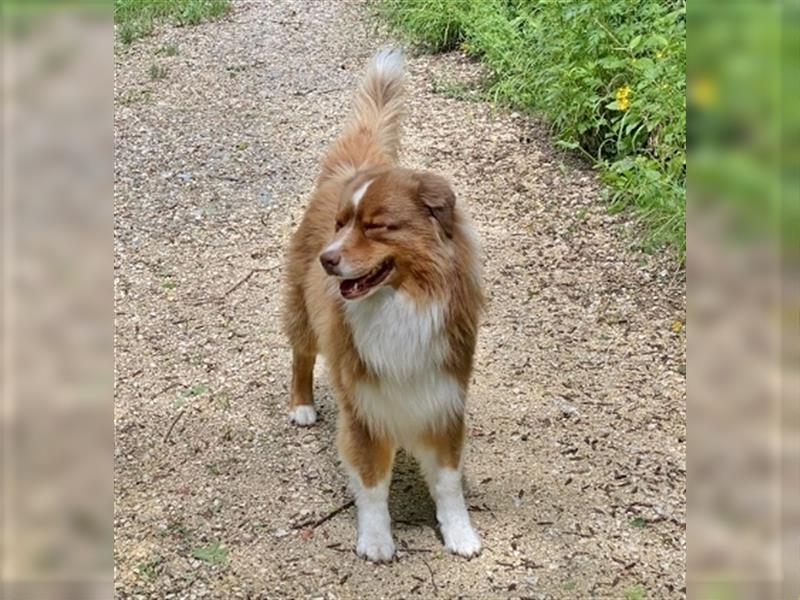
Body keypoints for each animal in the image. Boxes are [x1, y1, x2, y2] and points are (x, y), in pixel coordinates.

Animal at [284, 48, 484, 564]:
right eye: (341, 224)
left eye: (376, 227)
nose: (327, 259)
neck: (402, 303)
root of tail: (355, 162)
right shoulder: (364, 407)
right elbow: (372, 484)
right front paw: (376, 540)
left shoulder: (443, 397)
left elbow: (449, 484)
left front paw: (460, 533)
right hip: (300, 312)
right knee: (301, 354)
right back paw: (302, 406)